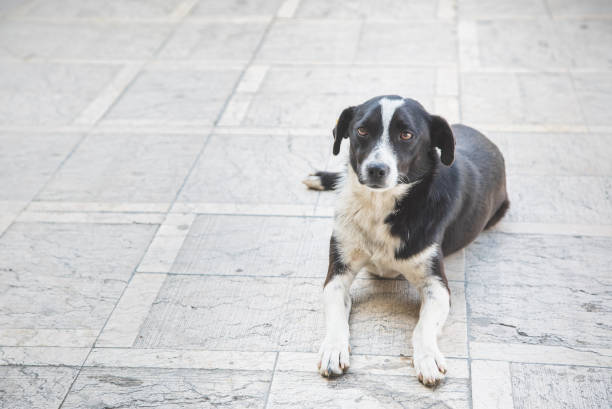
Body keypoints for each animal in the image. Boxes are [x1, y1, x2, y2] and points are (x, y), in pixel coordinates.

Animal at [304, 95, 510, 386]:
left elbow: (423, 327)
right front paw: (333, 349)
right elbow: (335, 315)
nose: (376, 169)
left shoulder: (436, 286)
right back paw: (322, 178)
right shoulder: (338, 271)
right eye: (362, 130)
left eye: (406, 135)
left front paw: (428, 358)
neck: (380, 206)